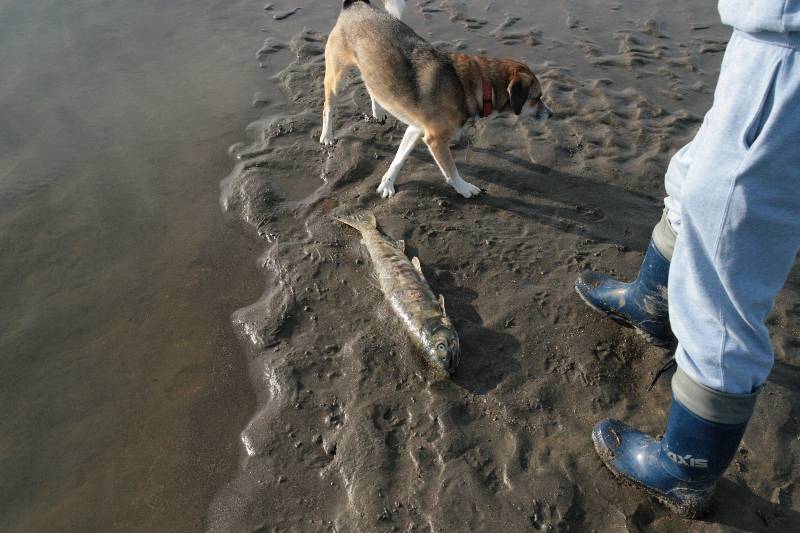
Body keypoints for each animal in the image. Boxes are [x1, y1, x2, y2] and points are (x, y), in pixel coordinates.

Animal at [320, 0, 552, 198]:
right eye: (536, 98)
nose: (551, 114)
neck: (476, 84)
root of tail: (356, 5)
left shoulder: (416, 129)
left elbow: (398, 159)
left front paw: (386, 183)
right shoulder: (435, 140)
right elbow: (450, 170)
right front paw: (464, 188)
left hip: (373, 72)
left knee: (371, 88)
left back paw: (379, 111)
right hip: (337, 78)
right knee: (328, 106)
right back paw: (327, 135)